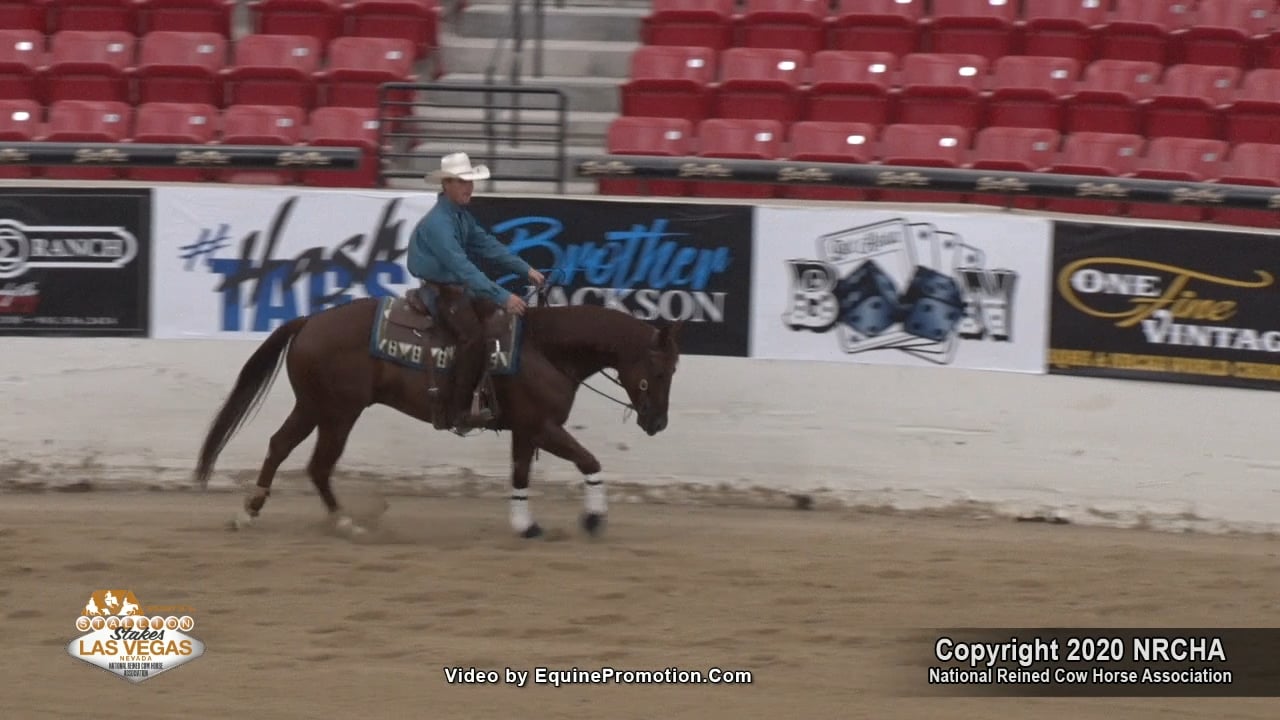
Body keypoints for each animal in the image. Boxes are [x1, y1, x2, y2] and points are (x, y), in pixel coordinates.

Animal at [192, 280, 680, 538]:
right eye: (658, 370)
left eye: (675, 369)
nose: (658, 422)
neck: (545, 348)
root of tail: (308, 321)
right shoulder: (543, 425)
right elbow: (589, 461)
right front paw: (594, 518)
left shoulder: (526, 430)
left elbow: (520, 475)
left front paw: (525, 524)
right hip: (336, 411)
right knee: (315, 463)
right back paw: (342, 521)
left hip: (316, 407)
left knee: (283, 447)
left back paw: (256, 511)